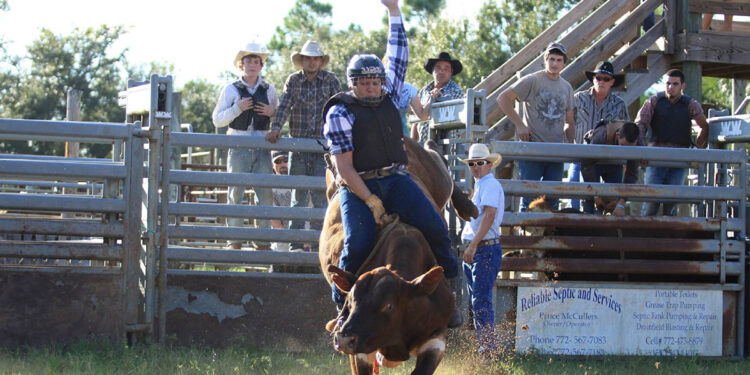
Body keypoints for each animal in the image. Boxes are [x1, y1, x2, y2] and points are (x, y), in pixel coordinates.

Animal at [318, 138, 476, 375]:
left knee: (439, 160)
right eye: (351, 301)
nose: (344, 340)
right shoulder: (361, 352)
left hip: (436, 176)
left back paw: (468, 207)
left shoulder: (436, 340)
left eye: (389, 306)